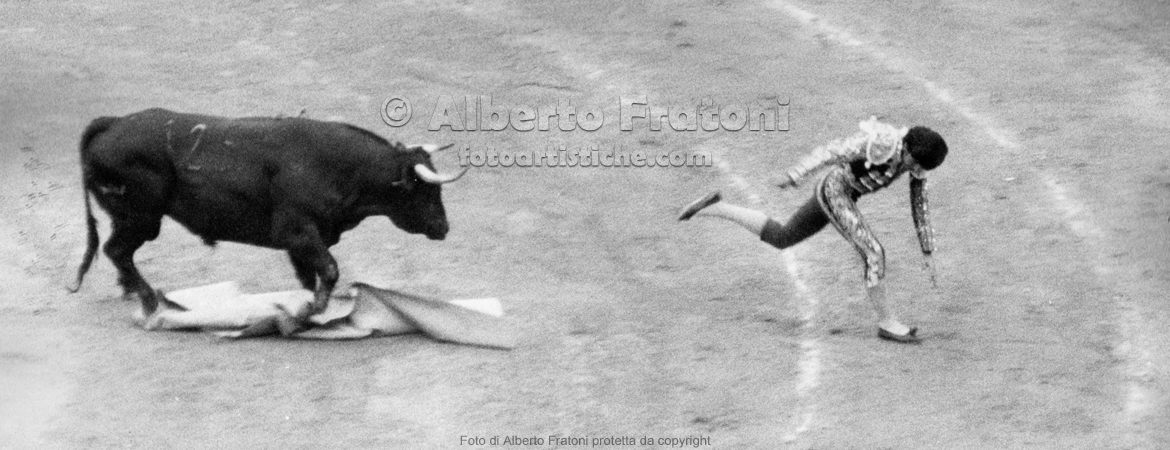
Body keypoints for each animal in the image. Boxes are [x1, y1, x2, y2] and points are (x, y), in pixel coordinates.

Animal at [68, 107, 465, 317]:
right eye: (429, 190)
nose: (444, 227)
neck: (340, 167)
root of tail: (113, 122)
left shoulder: (302, 242)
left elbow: (310, 277)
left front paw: (310, 305)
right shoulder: (298, 231)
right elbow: (329, 269)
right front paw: (312, 311)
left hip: (130, 218)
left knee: (119, 253)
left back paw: (131, 291)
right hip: (142, 218)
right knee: (116, 250)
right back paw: (151, 301)